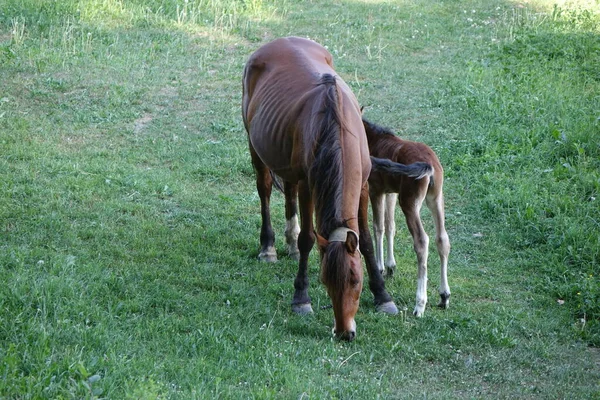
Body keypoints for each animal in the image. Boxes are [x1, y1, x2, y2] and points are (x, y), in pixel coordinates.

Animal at [241, 36, 420, 340]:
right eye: (325, 280)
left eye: (356, 280)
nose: (344, 332)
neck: (336, 127)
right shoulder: (308, 186)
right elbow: (308, 239)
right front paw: (301, 298)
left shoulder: (362, 186)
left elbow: (367, 241)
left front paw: (383, 296)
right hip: (256, 148)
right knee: (264, 190)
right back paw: (269, 247)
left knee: (287, 191)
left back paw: (289, 243)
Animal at [360, 117, 450, 318]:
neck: (372, 140)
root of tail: (430, 166)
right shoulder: (390, 192)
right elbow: (390, 226)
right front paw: (391, 267)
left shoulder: (376, 190)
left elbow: (378, 226)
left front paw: (380, 268)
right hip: (436, 198)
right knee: (442, 239)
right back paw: (444, 296)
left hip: (409, 203)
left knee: (422, 241)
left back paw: (420, 305)